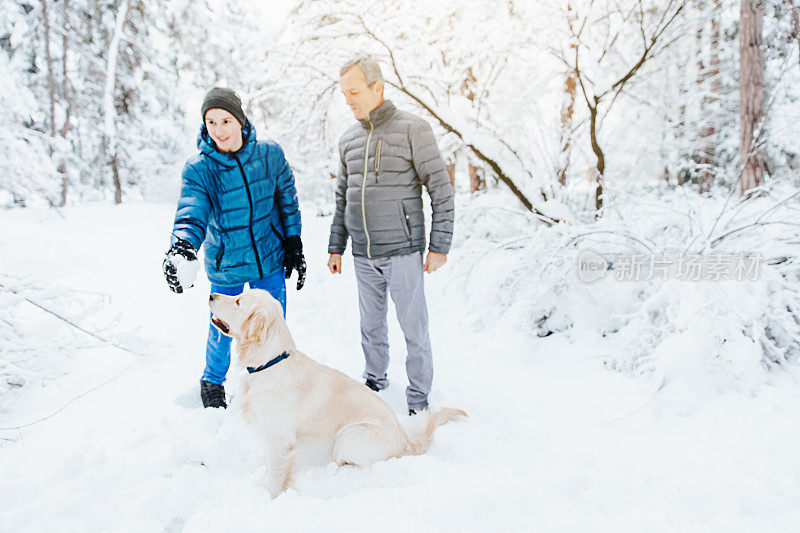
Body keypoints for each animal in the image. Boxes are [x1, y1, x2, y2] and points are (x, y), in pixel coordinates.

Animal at [208, 288, 468, 496]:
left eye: (239, 301)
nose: (211, 295)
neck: (270, 362)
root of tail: (406, 441)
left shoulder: (280, 440)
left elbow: (275, 479)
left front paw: (271, 500)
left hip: (349, 436)